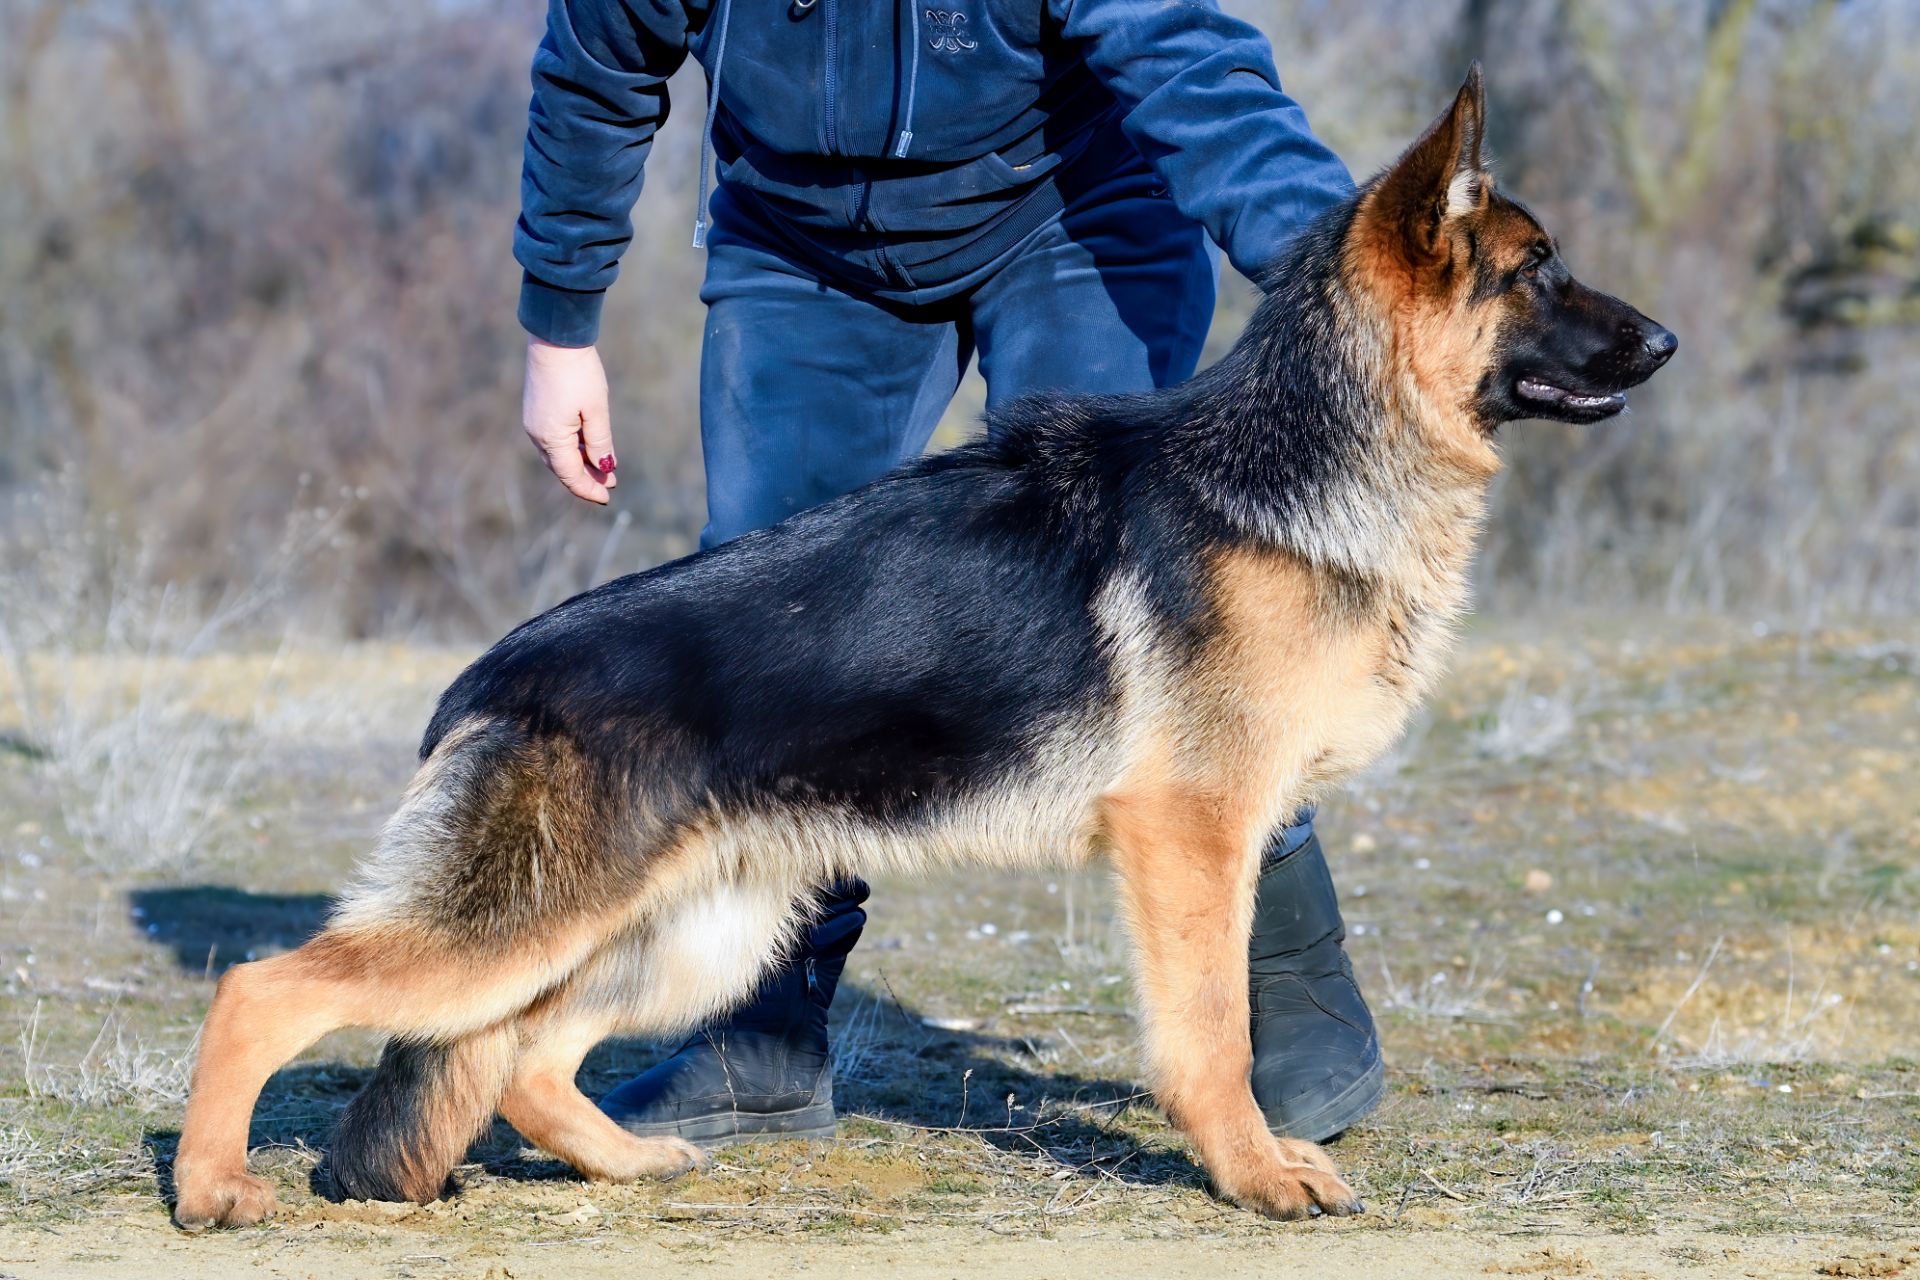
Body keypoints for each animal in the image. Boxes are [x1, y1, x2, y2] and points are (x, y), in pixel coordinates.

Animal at [172, 70, 1674, 1228]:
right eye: (1539, 269)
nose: (1667, 339)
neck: (1304, 456)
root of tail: (486, 683)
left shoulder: (1225, 831)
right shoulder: (1191, 836)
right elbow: (1208, 1032)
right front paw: (1251, 1174)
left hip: (695, 929)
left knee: (531, 1061)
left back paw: (635, 1159)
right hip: (534, 924)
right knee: (266, 988)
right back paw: (209, 1188)